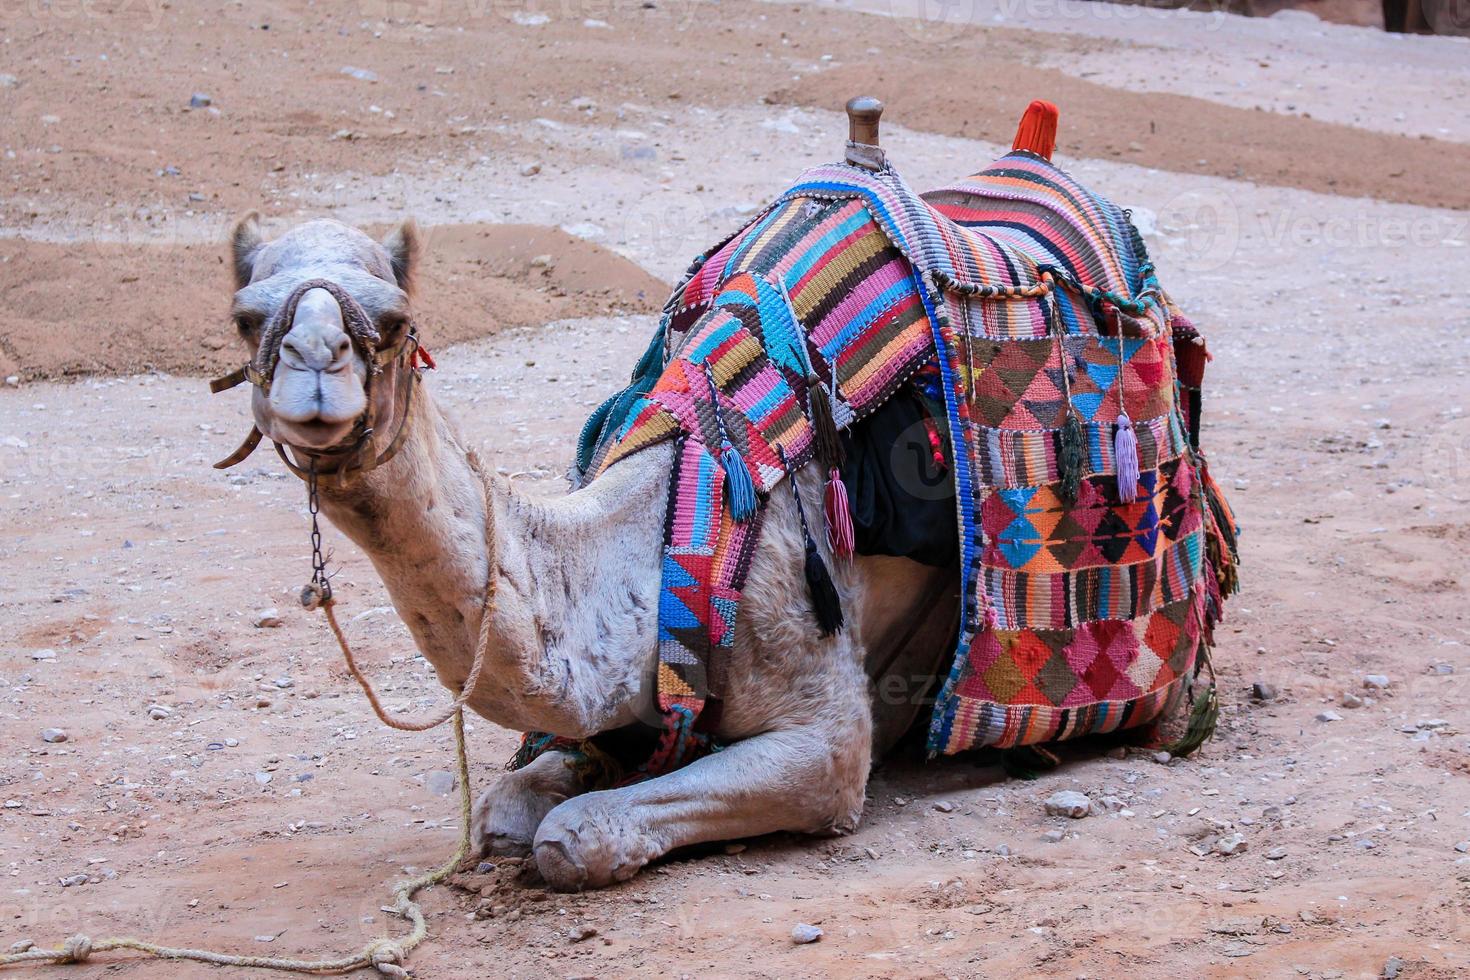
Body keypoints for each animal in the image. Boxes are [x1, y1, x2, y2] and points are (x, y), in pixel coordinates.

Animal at [217, 215, 952, 899]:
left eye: (396, 321)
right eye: (245, 319)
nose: (316, 363)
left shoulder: (826, 732)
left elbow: (574, 835)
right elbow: (502, 809)